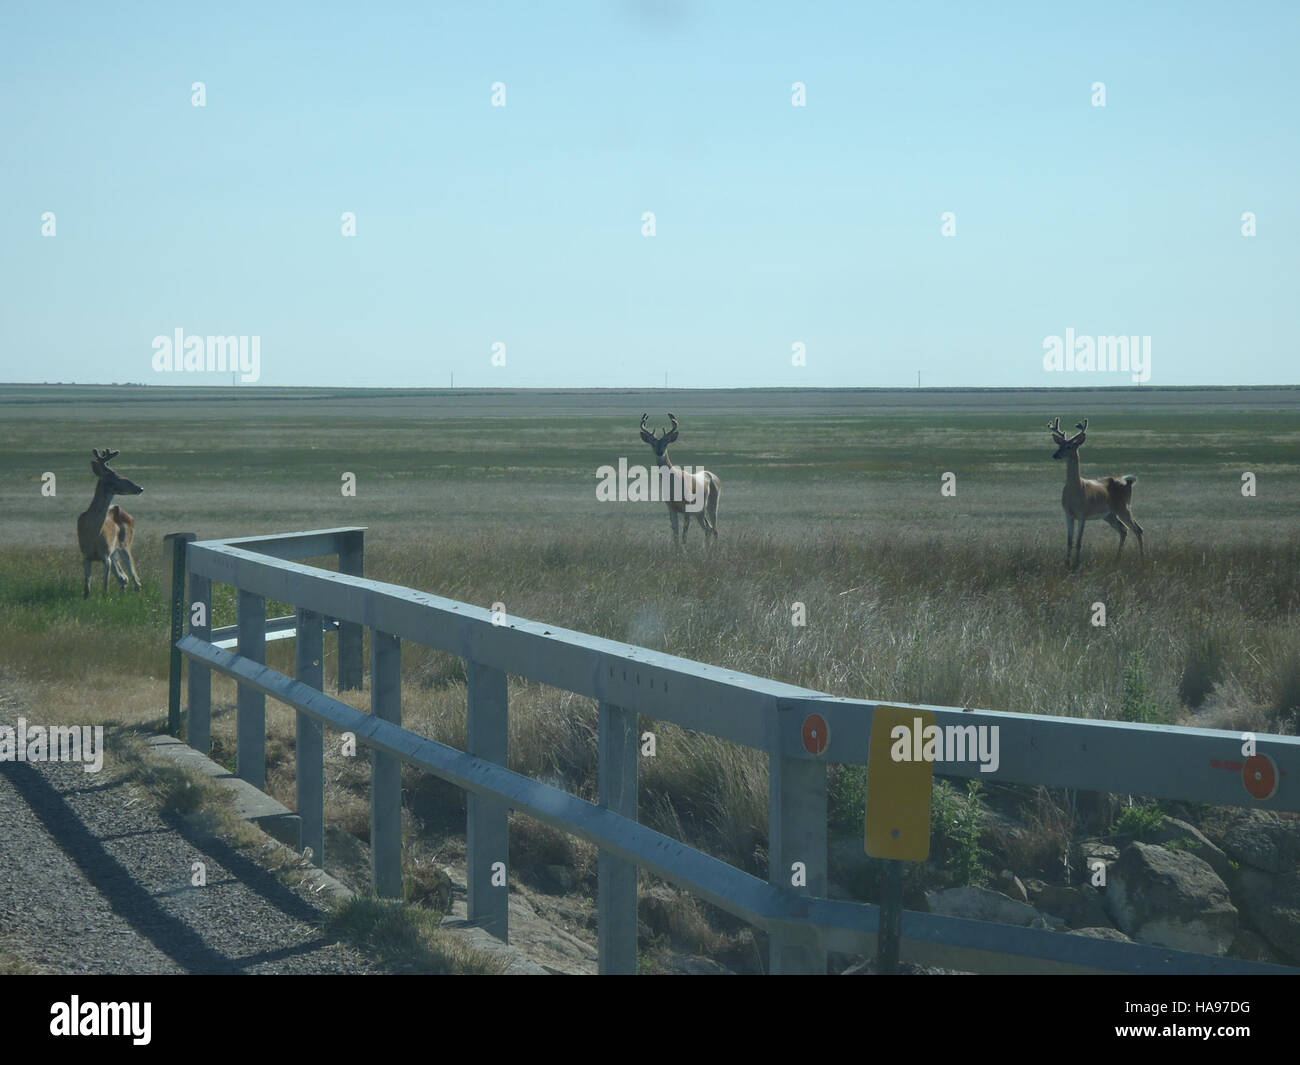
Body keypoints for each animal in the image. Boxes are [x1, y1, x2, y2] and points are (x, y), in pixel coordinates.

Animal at [77, 447, 145, 597]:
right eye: (118, 478)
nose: (140, 488)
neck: (93, 534)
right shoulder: (85, 555)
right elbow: (86, 586)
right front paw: (86, 597)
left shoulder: (106, 555)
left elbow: (105, 585)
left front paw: (105, 598)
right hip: (115, 554)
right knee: (124, 578)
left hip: (125, 545)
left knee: (135, 578)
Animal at [639, 412, 721, 544]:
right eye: (652, 443)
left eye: (666, 442)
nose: (659, 451)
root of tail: (714, 476)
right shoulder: (671, 508)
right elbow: (676, 534)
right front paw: (677, 548)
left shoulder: (687, 508)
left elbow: (684, 534)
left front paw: (684, 549)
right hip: (699, 512)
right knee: (708, 529)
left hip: (712, 505)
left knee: (714, 529)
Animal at [1049, 418, 1143, 567]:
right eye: (1060, 445)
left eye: (1069, 446)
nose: (1055, 455)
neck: (1075, 490)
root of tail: (1128, 482)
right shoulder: (1068, 514)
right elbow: (1069, 541)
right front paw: (1067, 564)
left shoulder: (1083, 514)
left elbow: (1079, 542)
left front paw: (1076, 564)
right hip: (1109, 514)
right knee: (1124, 530)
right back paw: (1117, 560)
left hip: (1124, 507)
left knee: (1138, 529)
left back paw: (1142, 560)